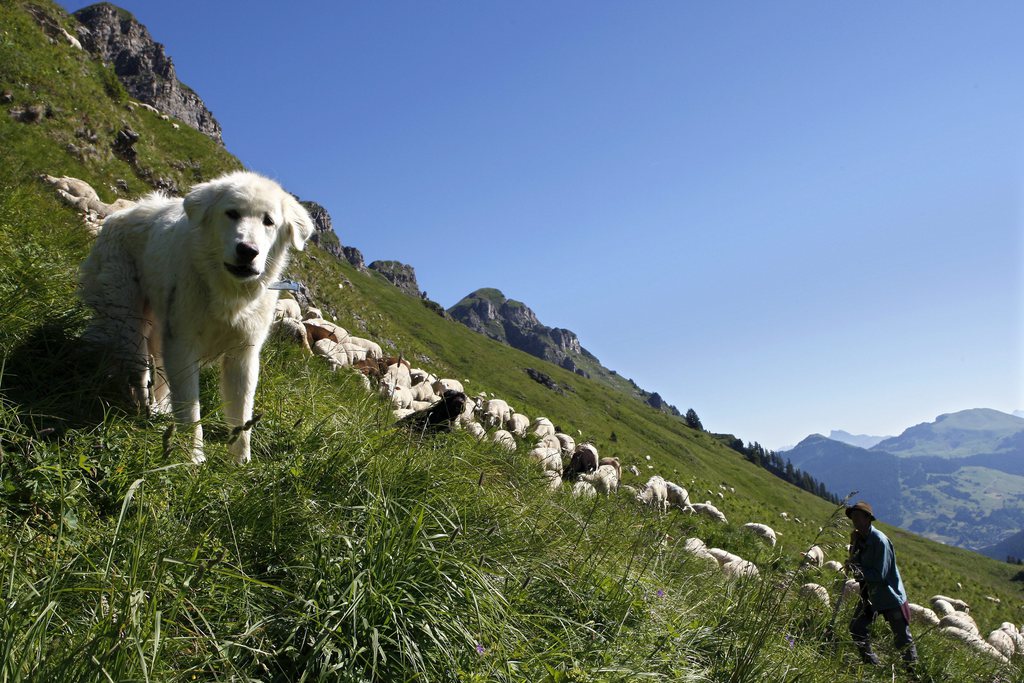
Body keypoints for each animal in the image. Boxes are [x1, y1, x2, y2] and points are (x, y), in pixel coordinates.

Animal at [79, 171, 313, 464]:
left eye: (268, 221)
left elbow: (241, 413)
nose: (248, 250)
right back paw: (140, 405)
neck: (227, 294)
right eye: (232, 213)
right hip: (128, 317)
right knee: (138, 368)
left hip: (159, 328)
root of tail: (121, 212)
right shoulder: (184, 344)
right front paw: (192, 458)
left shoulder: (243, 355)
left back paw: (159, 411)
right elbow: (191, 408)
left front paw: (240, 462)